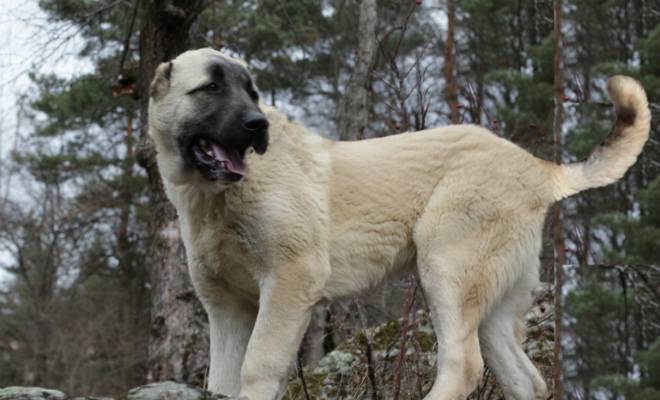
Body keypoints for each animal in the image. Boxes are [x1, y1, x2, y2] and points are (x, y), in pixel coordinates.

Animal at [148, 47, 648, 400]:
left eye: (251, 92)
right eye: (211, 88)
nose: (257, 124)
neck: (213, 199)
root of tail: (536, 166)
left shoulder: (289, 281)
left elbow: (257, 366)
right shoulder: (227, 309)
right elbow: (221, 379)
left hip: (447, 268)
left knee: (463, 366)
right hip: (492, 301)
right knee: (524, 378)